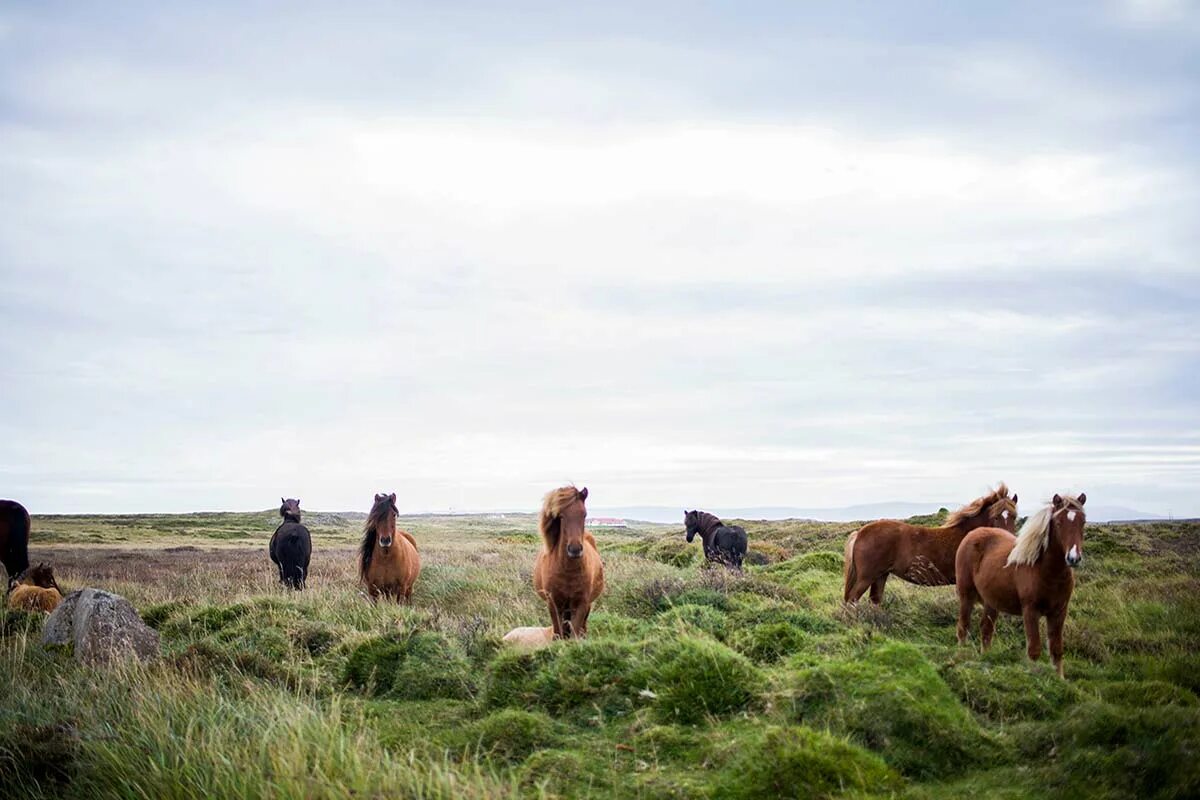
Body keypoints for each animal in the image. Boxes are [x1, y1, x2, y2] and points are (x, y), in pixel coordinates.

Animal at [532, 484, 604, 642]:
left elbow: (575, 633)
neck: (568, 571)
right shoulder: (554, 604)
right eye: (561, 516)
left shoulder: (581, 604)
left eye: (584, 514)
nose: (575, 549)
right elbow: (558, 633)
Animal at [840, 482, 1017, 606]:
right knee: (852, 600)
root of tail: (860, 533)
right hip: (866, 577)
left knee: (874, 601)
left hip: (880, 575)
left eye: (1014, 516)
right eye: (995, 517)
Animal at [955, 491, 1089, 681]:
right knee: (963, 627)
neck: (1046, 571)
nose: (1073, 558)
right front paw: (1034, 678)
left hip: (991, 602)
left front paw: (1060, 680)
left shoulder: (1059, 612)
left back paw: (985, 658)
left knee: (986, 629)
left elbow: (1056, 649)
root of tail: (973, 533)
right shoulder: (1030, 611)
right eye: (1058, 522)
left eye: (1082, 521)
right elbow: (1034, 650)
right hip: (966, 596)